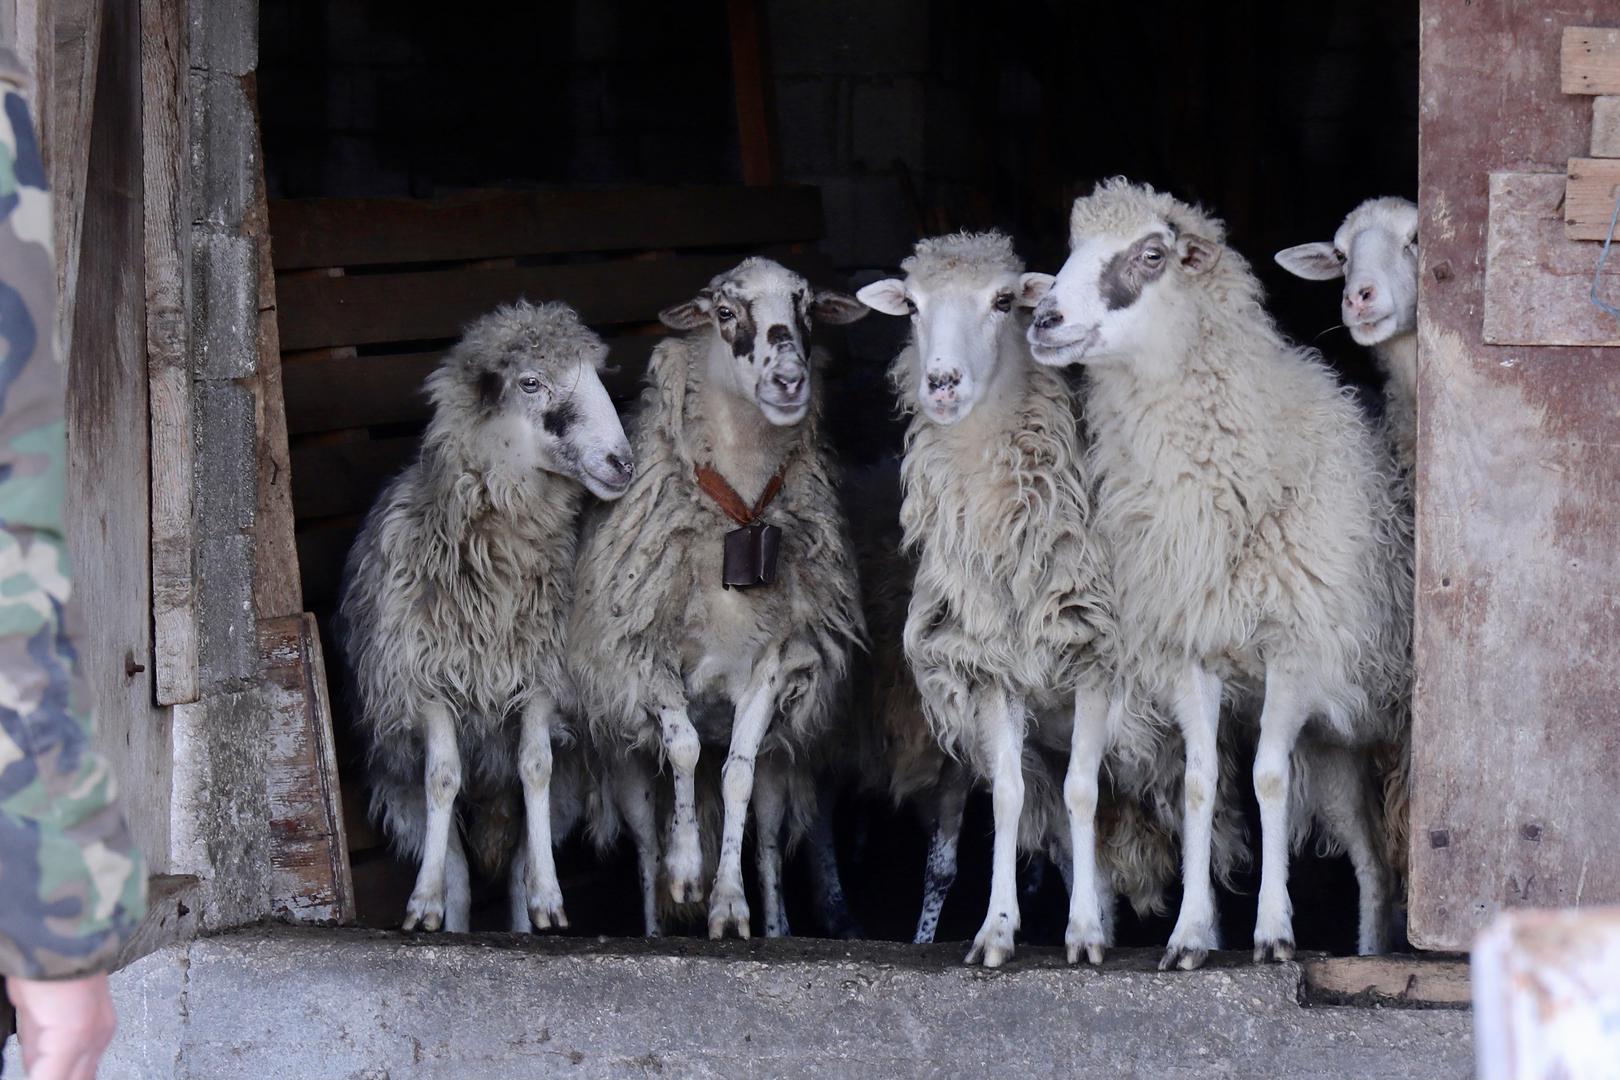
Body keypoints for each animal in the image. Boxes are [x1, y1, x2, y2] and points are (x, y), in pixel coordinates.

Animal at [341, 299, 631, 932]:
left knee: (518, 858)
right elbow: (443, 777)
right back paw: (441, 915)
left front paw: (549, 893)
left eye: (598, 376)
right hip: (395, 781)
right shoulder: (423, 683)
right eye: (530, 382)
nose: (622, 462)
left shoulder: (544, 680)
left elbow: (536, 765)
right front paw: (421, 901)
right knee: (456, 867)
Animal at [570, 259, 874, 939]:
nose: (789, 380)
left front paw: (729, 905)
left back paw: (776, 926)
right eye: (726, 312)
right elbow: (681, 747)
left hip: (782, 768)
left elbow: (737, 778)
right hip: (626, 760)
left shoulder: (777, 664)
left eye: (806, 306)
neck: (741, 512)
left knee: (766, 837)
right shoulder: (647, 653)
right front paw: (687, 873)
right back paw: (655, 919)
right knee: (645, 842)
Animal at [855, 229, 1244, 971]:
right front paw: (998, 930)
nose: (941, 384)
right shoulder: (991, 672)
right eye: (912, 305)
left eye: (1004, 301)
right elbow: (1011, 798)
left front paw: (1084, 933)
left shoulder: (1096, 664)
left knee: (1200, 801)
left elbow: (1081, 793)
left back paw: (1197, 933)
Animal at [1030, 179, 1412, 971]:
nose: (1044, 320)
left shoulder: (1294, 650)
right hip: (1336, 744)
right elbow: (1201, 783)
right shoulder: (1191, 650)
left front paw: (1272, 932)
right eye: (1072, 246)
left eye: (1152, 254)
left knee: (1376, 867)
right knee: (1367, 853)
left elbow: (1266, 779)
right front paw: (1190, 934)